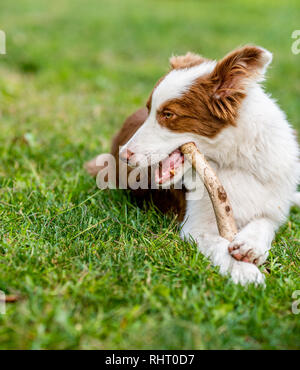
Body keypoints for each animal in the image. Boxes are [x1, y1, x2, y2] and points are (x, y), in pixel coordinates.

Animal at [85, 44, 298, 284]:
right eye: (149, 110)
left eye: (168, 114)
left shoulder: (274, 204)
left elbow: (265, 222)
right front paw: (245, 272)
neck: (234, 160)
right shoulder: (197, 227)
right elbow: (220, 244)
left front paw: (250, 246)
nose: (123, 155)